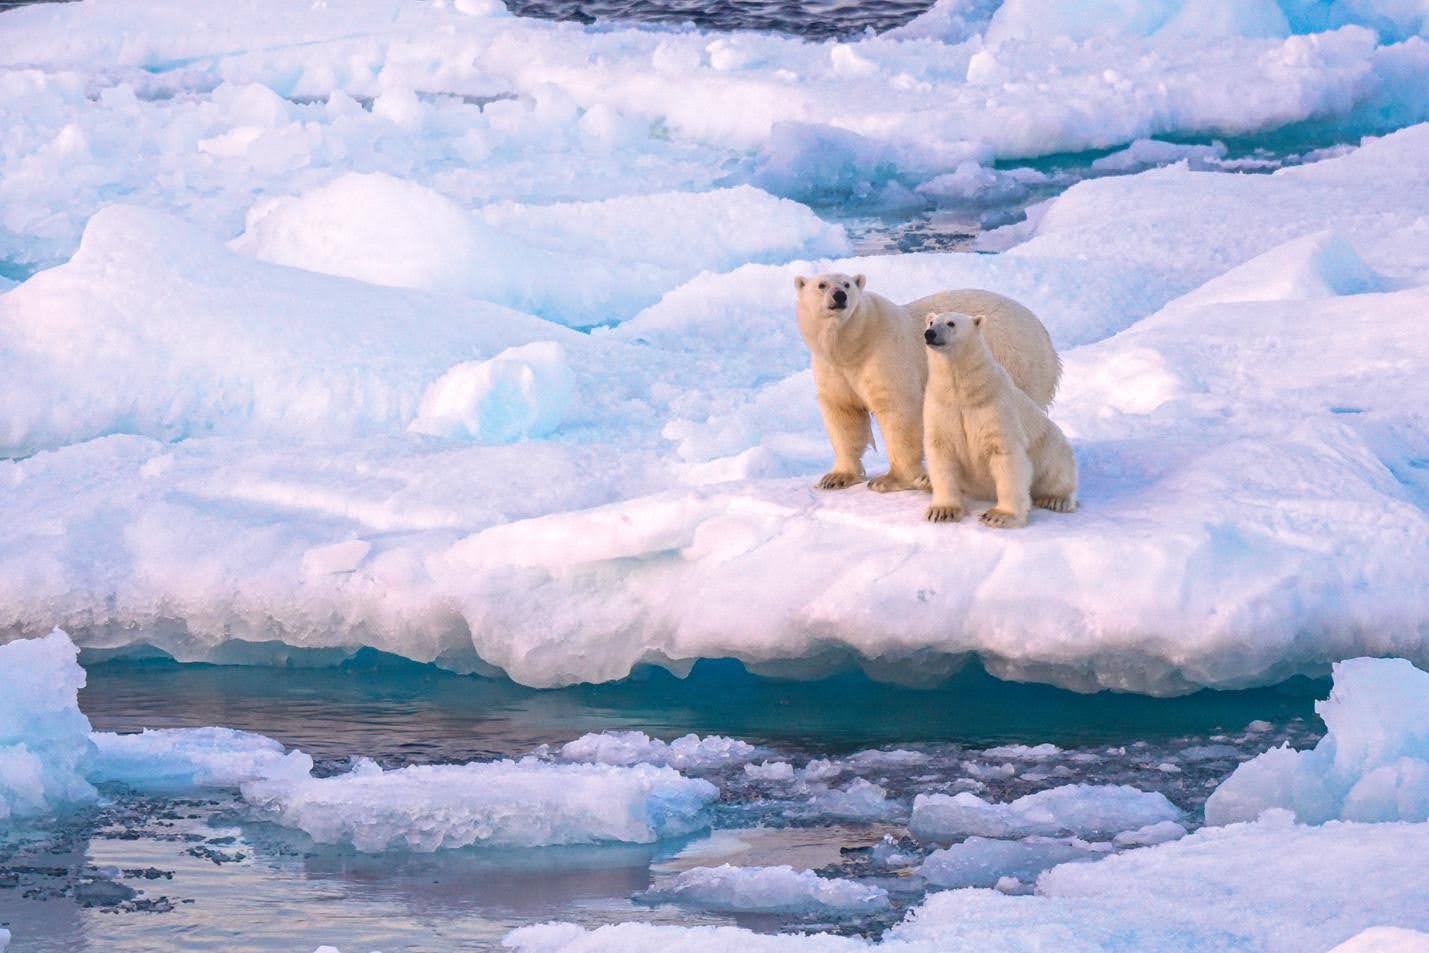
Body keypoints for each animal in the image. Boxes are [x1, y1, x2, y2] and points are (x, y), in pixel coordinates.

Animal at [794, 274, 1063, 491]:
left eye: (847, 283)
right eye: (821, 284)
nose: (839, 296)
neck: (853, 345)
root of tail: (1046, 336)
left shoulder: (885, 354)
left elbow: (898, 412)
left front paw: (888, 480)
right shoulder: (833, 369)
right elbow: (843, 414)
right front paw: (835, 477)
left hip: (1015, 360)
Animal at [920, 311, 1074, 528]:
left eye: (951, 323)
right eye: (932, 322)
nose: (930, 333)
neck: (964, 393)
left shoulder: (995, 407)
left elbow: (1006, 456)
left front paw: (999, 515)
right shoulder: (941, 406)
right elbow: (941, 452)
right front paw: (942, 511)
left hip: (1050, 445)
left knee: (1057, 469)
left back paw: (1056, 499)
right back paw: (925, 481)